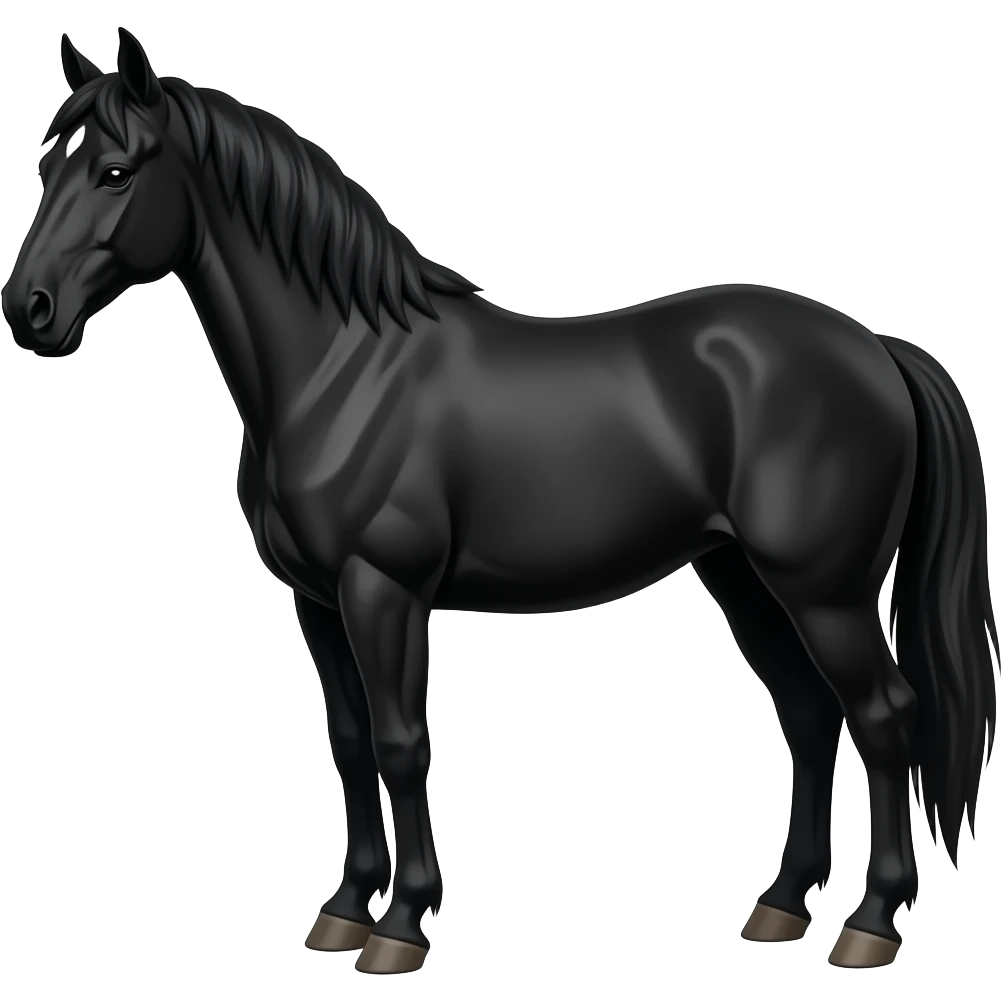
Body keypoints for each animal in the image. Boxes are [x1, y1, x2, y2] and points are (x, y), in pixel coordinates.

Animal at [3, 28, 998, 975]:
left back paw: (870, 924)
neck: (342, 368)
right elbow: (351, 743)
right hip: (744, 580)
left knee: (885, 715)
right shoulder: (318, 600)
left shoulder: (384, 590)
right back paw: (783, 908)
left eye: (116, 170)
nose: (29, 311)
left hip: (824, 591)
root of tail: (876, 349)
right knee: (811, 715)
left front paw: (400, 927)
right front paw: (342, 912)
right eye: (48, 166)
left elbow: (402, 743)